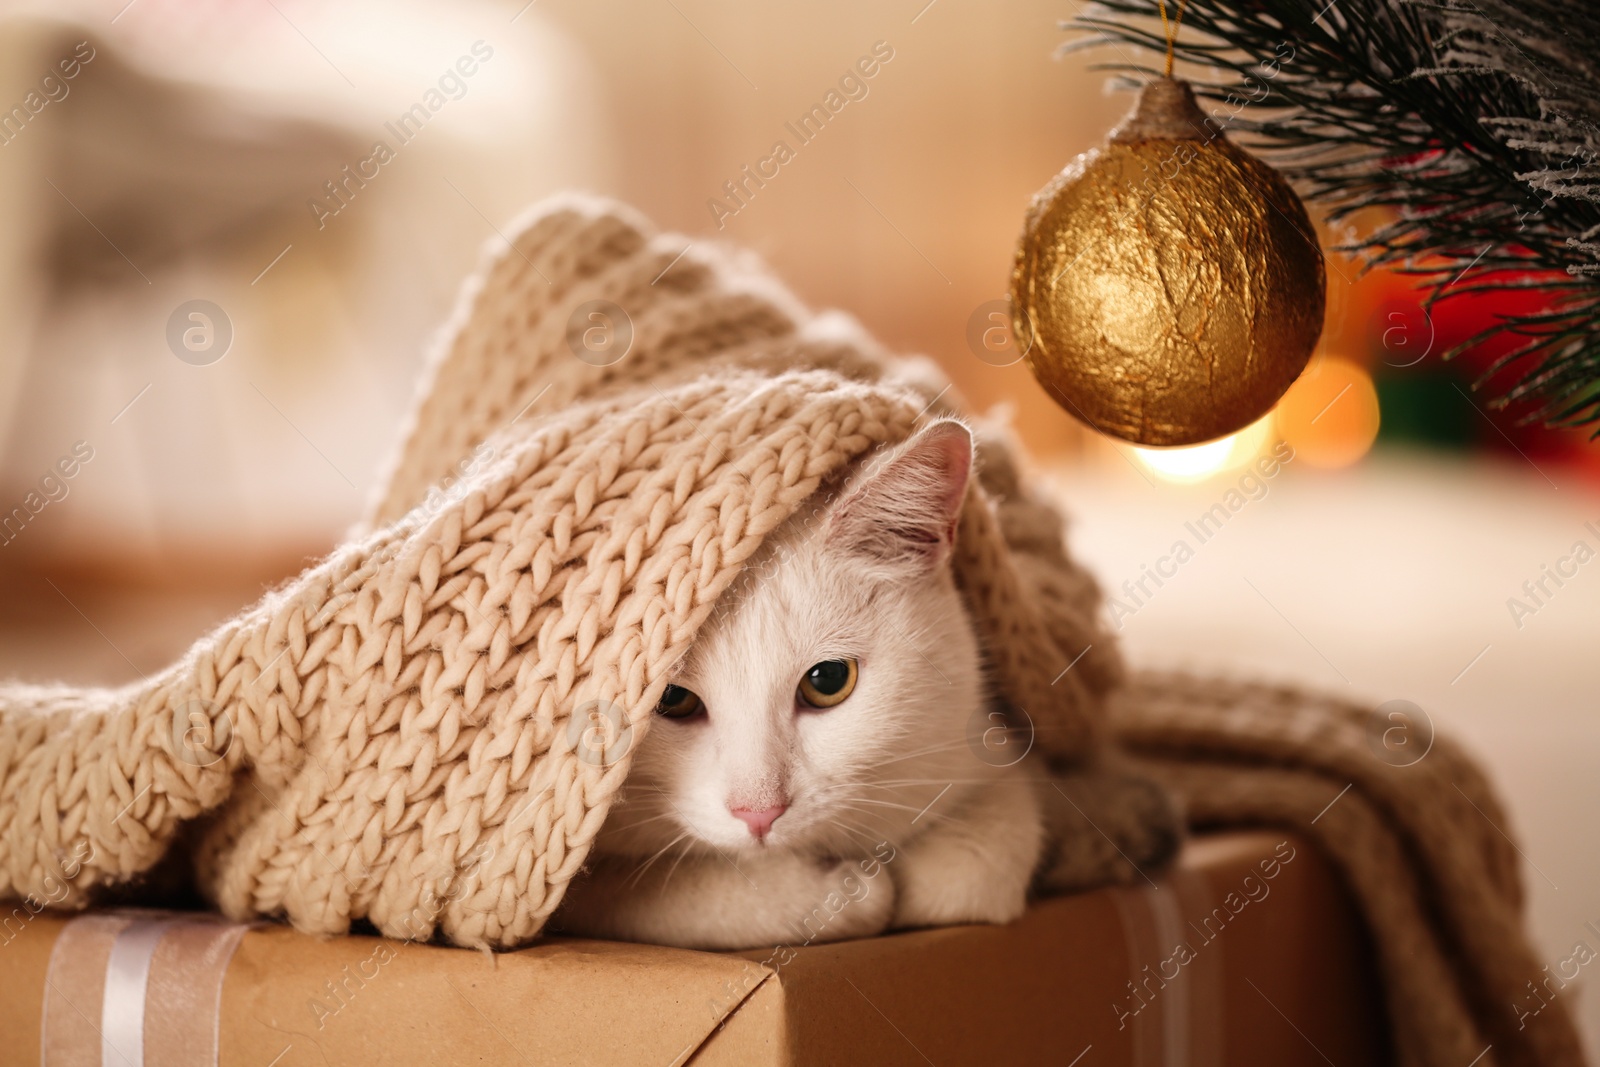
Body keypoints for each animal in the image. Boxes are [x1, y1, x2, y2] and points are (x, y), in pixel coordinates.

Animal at [553, 419, 1177, 953]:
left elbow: (978, 864)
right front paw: (838, 894)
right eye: (671, 698)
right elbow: (658, 896)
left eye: (829, 680)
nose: (760, 812)